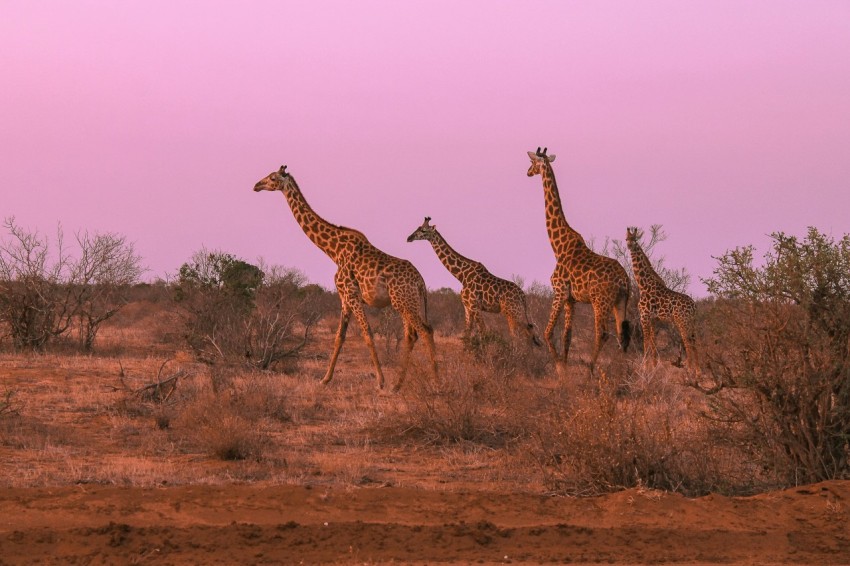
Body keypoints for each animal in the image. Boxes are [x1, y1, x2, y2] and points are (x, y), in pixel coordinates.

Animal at [252, 166, 438, 392]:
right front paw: (325, 379)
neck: (333, 251)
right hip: (406, 302)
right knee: (412, 335)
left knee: (425, 331)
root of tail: (421, 282)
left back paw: (437, 382)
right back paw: (398, 385)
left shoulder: (351, 293)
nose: (256, 185)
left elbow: (367, 333)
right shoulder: (344, 297)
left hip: (404, 302)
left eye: (272, 178)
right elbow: (339, 337)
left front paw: (380, 381)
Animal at [406, 217, 540, 348]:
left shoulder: (475, 307)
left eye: (423, 230)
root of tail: (523, 296)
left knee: (519, 335)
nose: (409, 238)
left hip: (512, 313)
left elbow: (483, 334)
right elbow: (467, 334)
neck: (461, 275)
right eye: (418, 227)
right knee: (528, 332)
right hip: (516, 313)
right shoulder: (467, 307)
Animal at [524, 146, 628, 372]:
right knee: (623, 335)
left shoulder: (559, 291)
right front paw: (564, 367)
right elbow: (567, 336)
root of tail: (625, 280)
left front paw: (559, 369)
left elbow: (548, 331)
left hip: (600, 301)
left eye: (533, 162)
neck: (558, 246)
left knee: (603, 334)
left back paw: (591, 370)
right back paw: (624, 372)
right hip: (620, 302)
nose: (527, 172)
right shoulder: (571, 299)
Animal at [624, 226, 696, 372]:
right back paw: (698, 370)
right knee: (696, 344)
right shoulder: (653, 319)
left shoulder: (644, 316)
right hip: (690, 322)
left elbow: (646, 342)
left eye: (635, 239)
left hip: (682, 321)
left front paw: (645, 367)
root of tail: (694, 306)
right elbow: (653, 342)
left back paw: (692, 370)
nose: (629, 245)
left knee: (688, 343)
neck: (643, 285)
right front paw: (653, 367)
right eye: (626, 238)